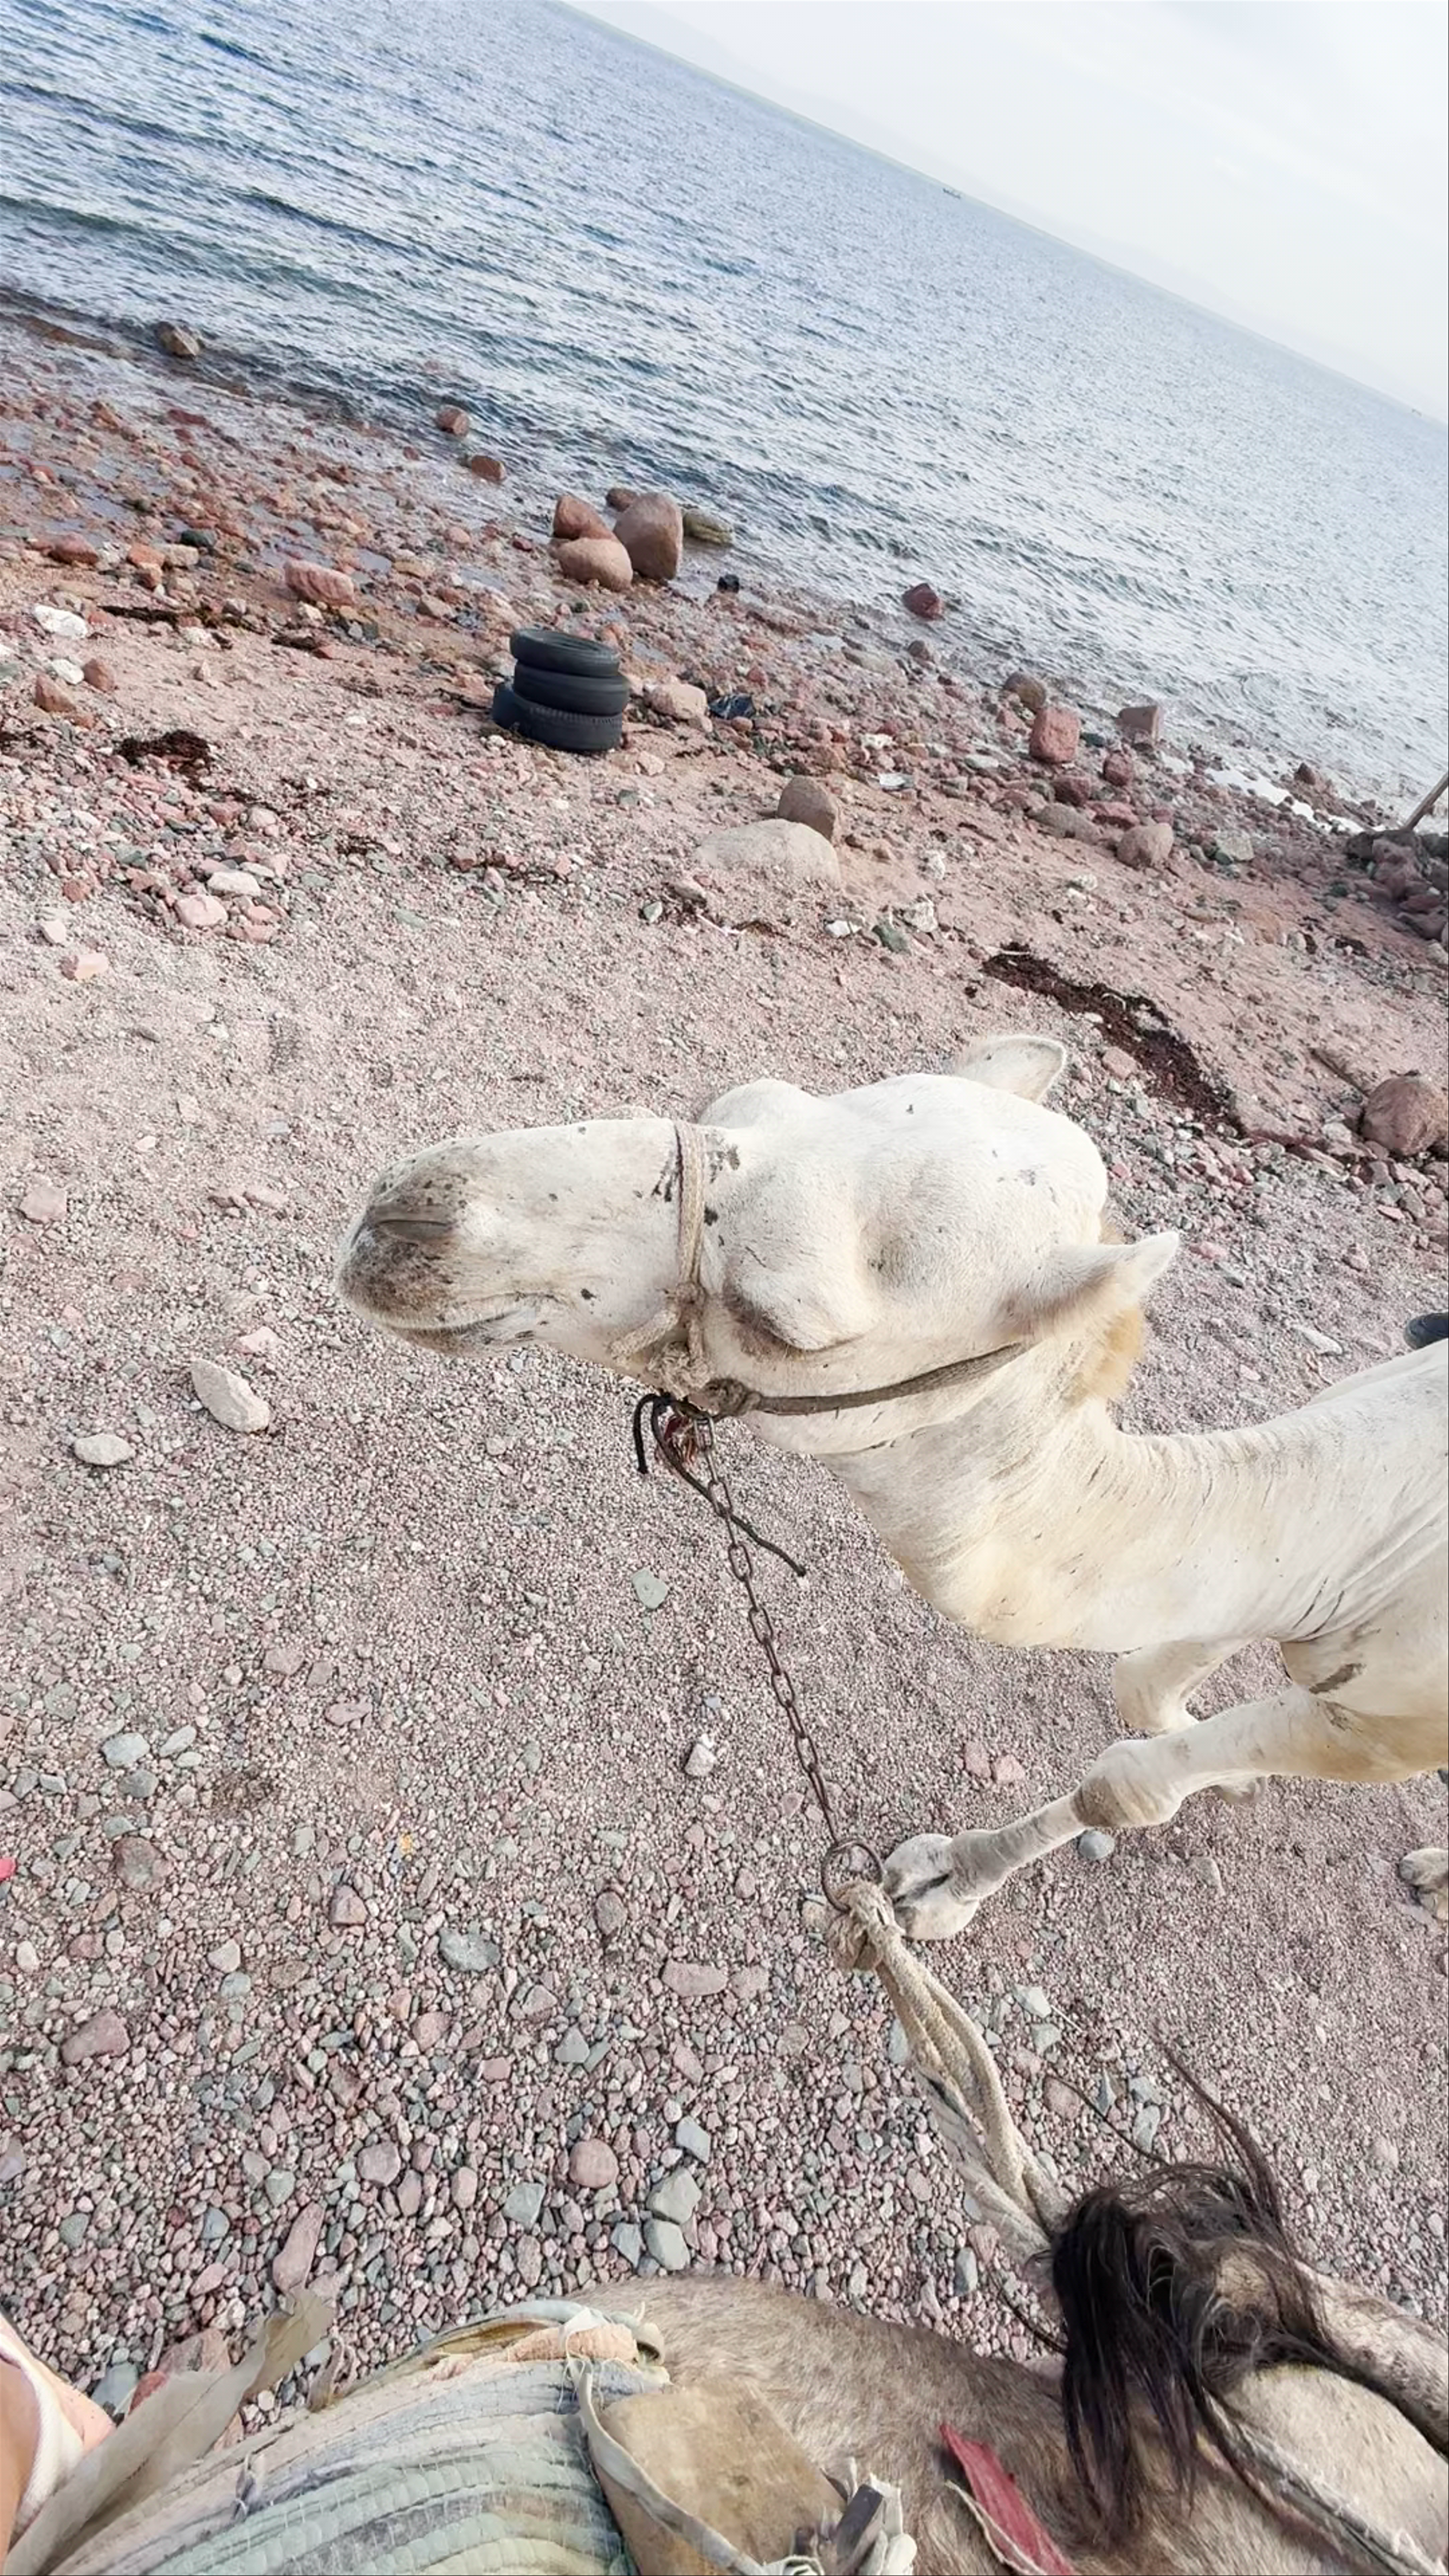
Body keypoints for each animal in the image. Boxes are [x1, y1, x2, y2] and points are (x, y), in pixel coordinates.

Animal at [335, 1036, 1449, 1940]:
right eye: (738, 1097)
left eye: (778, 1320)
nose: (406, 1217)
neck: (1364, 1523)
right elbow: (1147, 1684)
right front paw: (1188, 1734)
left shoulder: (1386, 1728)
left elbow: (1125, 1786)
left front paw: (943, 1887)